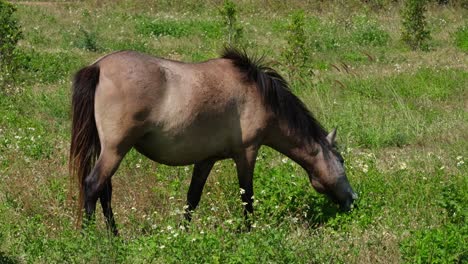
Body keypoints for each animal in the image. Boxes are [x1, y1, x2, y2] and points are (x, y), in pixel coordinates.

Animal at [68, 47, 354, 235]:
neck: (258, 94)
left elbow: (192, 198)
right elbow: (247, 196)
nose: (353, 198)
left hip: (107, 149)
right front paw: (249, 232)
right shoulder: (247, 152)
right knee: (93, 186)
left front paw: (182, 234)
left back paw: (115, 236)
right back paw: (89, 237)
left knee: (105, 191)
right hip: (115, 149)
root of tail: (99, 67)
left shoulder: (206, 160)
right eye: (341, 160)